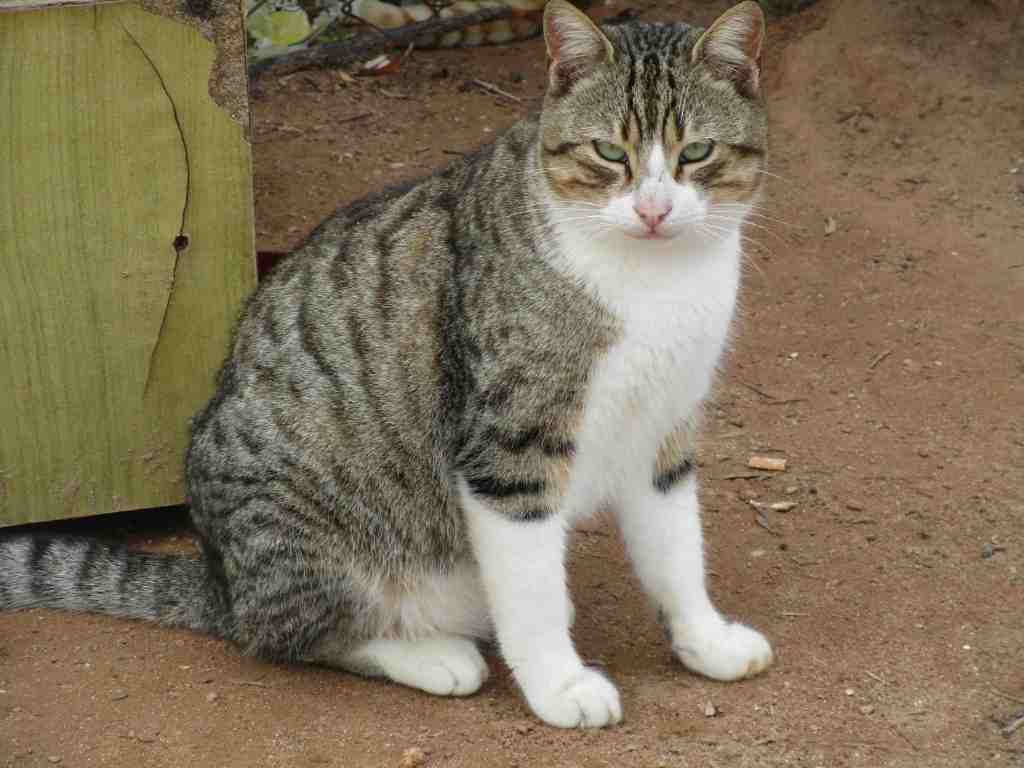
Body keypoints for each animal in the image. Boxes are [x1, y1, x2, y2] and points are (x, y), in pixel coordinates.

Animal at [0, 0, 773, 728]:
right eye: (610, 152)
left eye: (697, 152)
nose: (653, 210)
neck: (655, 281)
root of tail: (219, 581)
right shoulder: (508, 449)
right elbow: (533, 593)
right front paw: (559, 686)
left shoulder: (664, 427)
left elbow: (677, 552)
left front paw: (706, 641)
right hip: (307, 534)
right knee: (289, 635)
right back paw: (430, 655)